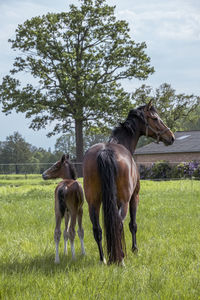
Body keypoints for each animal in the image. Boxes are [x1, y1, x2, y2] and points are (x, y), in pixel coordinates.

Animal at [83, 101, 175, 264]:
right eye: (155, 118)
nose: (171, 137)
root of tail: (105, 151)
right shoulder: (134, 197)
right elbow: (133, 225)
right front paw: (135, 249)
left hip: (93, 202)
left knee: (97, 229)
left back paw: (103, 259)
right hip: (124, 201)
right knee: (119, 224)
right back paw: (120, 259)